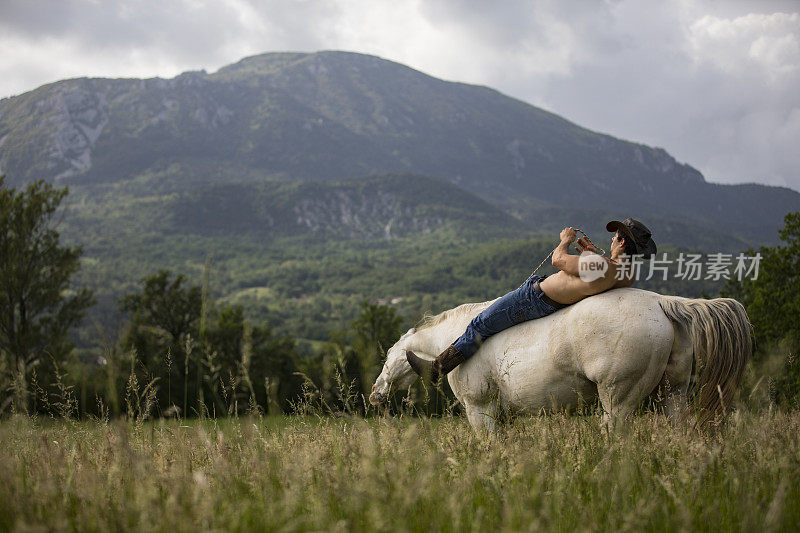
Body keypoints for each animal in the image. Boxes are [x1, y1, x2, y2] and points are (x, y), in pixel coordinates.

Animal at [368, 286, 752, 432]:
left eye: (388, 358)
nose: (374, 394)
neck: (457, 342)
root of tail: (661, 302)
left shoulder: (481, 410)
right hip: (672, 394)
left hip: (618, 400)